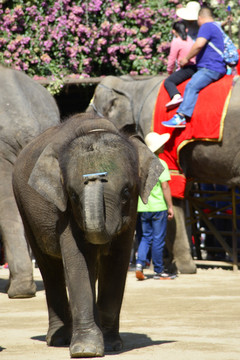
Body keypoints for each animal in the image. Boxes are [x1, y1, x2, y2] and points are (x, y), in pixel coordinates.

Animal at [13, 113, 163, 358]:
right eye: (73, 195)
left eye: (126, 192)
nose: (94, 176)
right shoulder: (63, 210)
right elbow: (78, 259)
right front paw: (85, 350)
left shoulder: (130, 213)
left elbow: (117, 261)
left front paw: (111, 345)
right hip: (24, 208)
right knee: (49, 268)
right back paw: (59, 339)